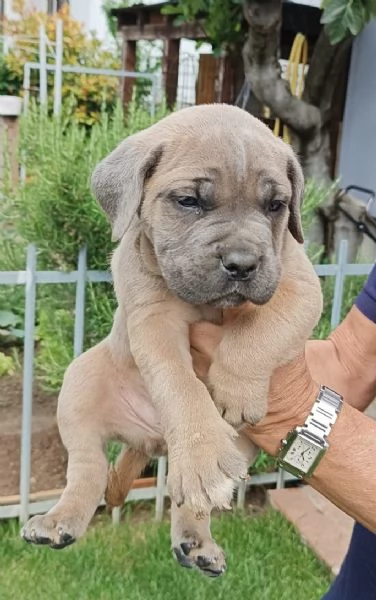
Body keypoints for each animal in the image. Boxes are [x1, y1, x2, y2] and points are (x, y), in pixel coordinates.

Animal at [20, 104, 322, 576]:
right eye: (189, 201)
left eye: (276, 206)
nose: (242, 263)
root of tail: (153, 441)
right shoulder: (153, 319)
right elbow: (180, 385)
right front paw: (200, 442)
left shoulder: (298, 286)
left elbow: (261, 329)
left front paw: (235, 387)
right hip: (80, 383)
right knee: (87, 469)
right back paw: (59, 521)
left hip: (241, 445)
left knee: (192, 496)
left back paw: (196, 541)